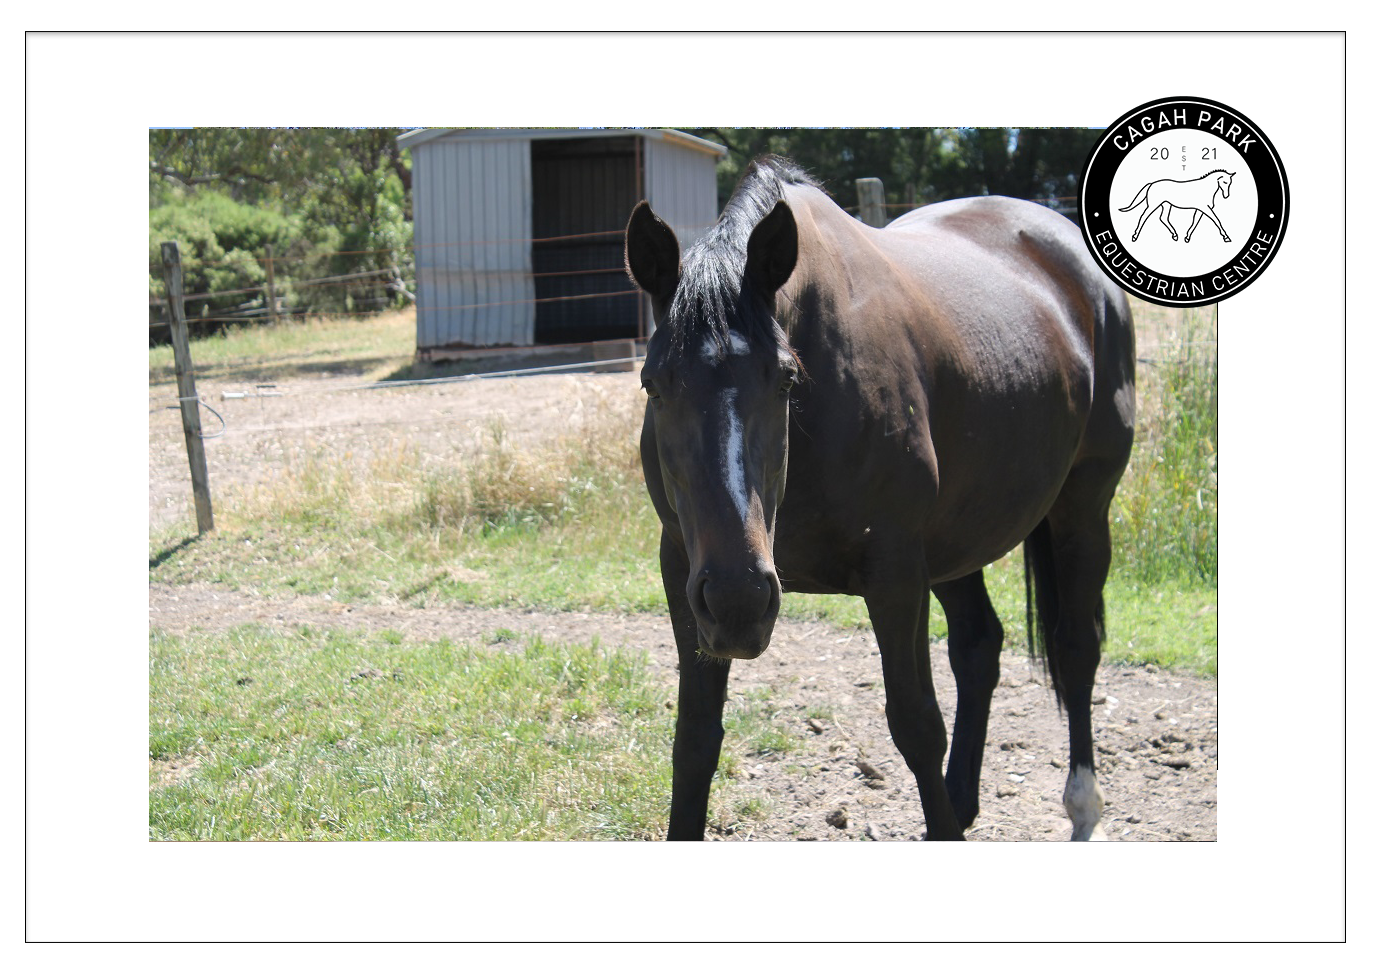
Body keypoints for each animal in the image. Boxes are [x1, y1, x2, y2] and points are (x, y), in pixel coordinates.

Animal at [627, 156, 1133, 840]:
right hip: (955, 544)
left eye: (785, 378)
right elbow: (696, 736)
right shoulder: (685, 572)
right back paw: (963, 803)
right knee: (979, 648)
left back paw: (1082, 806)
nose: (740, 600)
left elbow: (918, 726)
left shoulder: (895, 575)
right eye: (654, 384)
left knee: (1077, 649)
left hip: (1082, 507)